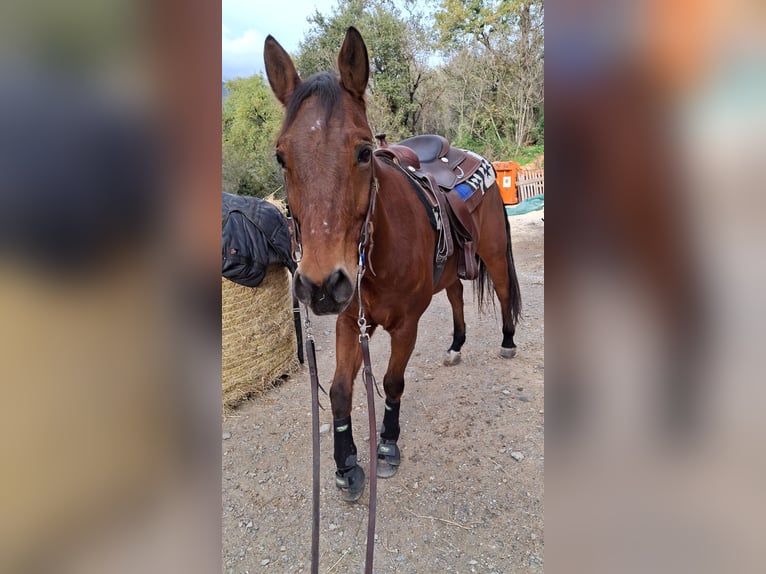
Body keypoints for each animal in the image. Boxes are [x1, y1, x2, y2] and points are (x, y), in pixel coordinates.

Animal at [264, 28, 520, 504]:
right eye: (281, 157)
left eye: (365, 152)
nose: (322, 284)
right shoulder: (350, 322)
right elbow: (340, 391)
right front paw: (346, 463)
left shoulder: (405, 325)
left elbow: (393, 381)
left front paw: (385, 444)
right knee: (457, 296)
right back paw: (456, 346)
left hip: (493, 254)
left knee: (503, 291)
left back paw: (508, 341)